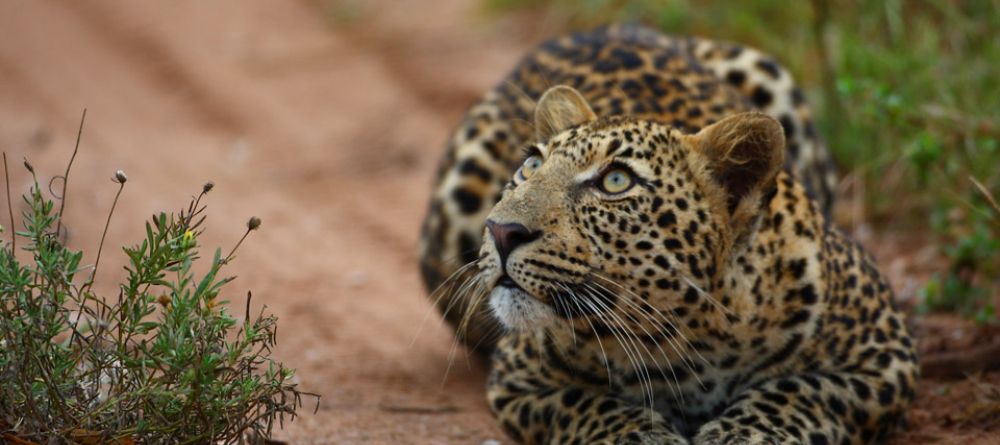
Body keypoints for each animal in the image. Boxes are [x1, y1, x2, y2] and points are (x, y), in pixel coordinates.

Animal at [414, 25, 916, 444]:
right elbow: (588, 404)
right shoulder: (521, 377)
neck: (686, 341)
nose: (501, 231)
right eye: (531, 165)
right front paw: (643, 434)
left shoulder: (884, 354)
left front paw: (740, 435)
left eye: (616, 181)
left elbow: (796, 392)